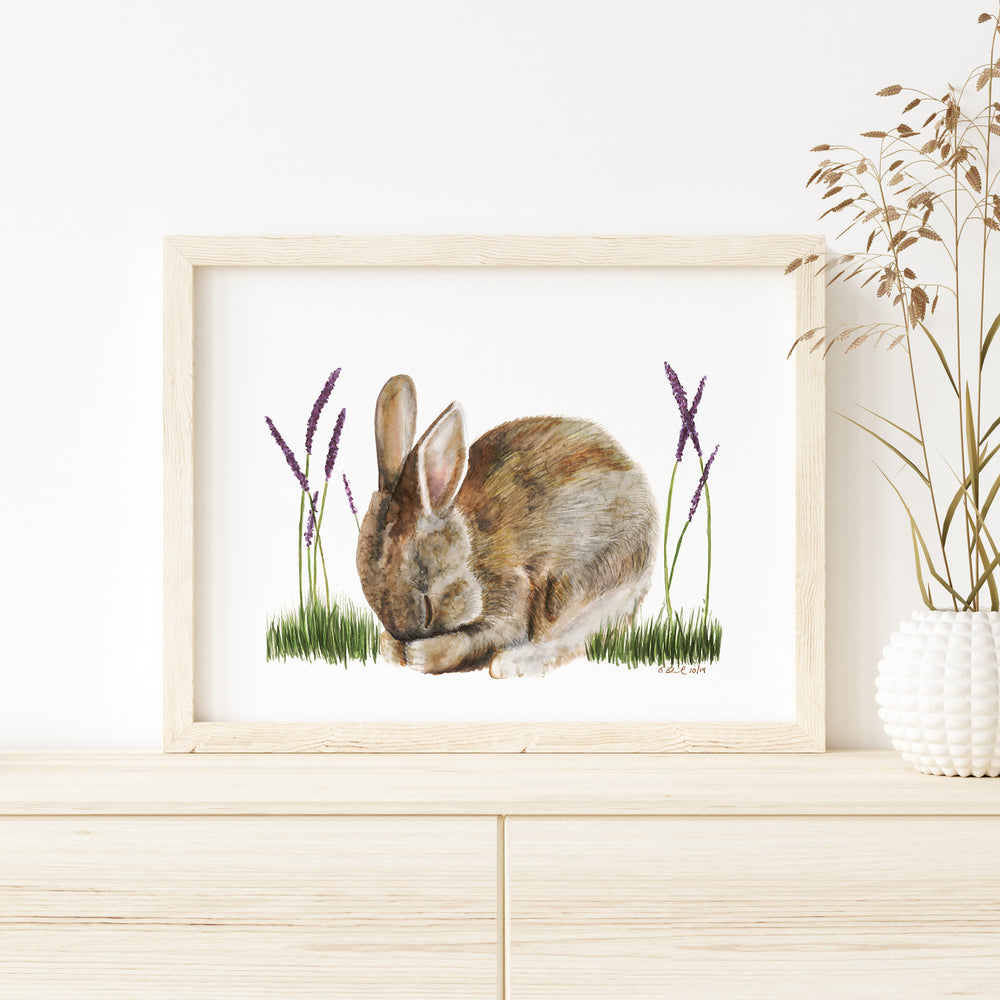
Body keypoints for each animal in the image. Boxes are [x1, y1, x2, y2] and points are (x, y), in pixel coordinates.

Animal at [356, 374, 658, 678]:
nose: (406, 637)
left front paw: (419, 654)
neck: (471, 551)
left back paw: (510, 664)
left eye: (427, 605)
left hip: (577, 582)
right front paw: (392, 648)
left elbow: (482, 637)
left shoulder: (511, 589)